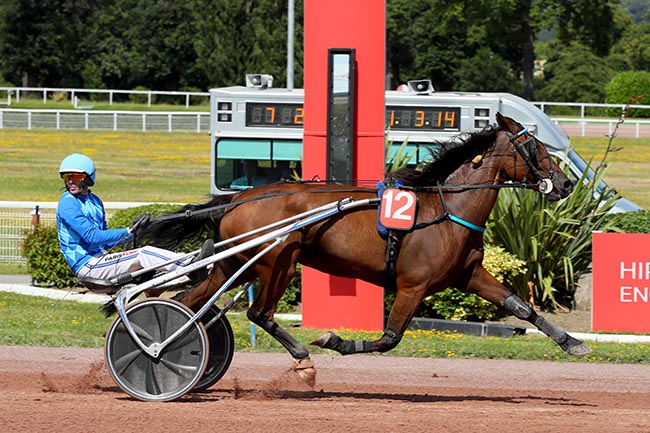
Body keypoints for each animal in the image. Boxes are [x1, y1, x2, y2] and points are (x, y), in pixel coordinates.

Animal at [139, 113, 588, 384]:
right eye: (535, 149)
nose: (567, 184)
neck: (446, 209)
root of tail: (236, 199)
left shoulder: (468, 274)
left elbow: (521, 307)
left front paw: (572, 342)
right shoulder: (412, 285)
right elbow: (389, 338)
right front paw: (335, 341)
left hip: (238, 263)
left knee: (189, 303)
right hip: (278, 261)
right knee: (257, 313)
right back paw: (301, 357)